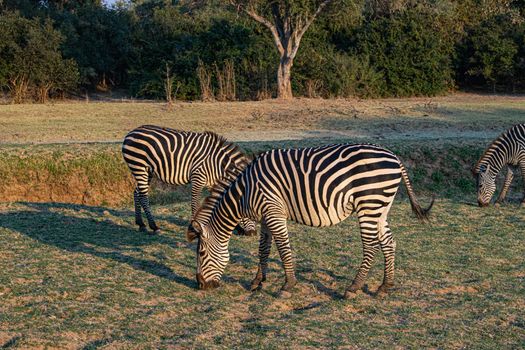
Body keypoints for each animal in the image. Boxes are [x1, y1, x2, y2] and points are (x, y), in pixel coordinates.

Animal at [121, 125, 256, 235]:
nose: (252, 233)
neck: (218, 165)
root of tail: (131, 132)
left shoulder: (213, 183)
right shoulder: (198, 178)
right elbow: (195, 203)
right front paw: (195, 227)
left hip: (147, 171)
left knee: (137, 192)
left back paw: (141, 224)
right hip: (139, 167)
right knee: (143, 196)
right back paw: (154, 226)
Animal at [186, 144, 432, 296]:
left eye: (201, 253)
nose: (200, 285)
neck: (245, 191)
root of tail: (395, 157)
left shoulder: (274, 212)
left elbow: (283, 249)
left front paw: (288, 285)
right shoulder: (265, 217)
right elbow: (264, 249)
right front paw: (258, 281)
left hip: (369, 204)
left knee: (371, 246)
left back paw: (354, 287)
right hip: (381, 206)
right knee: (389, 242)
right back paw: (385, 286)